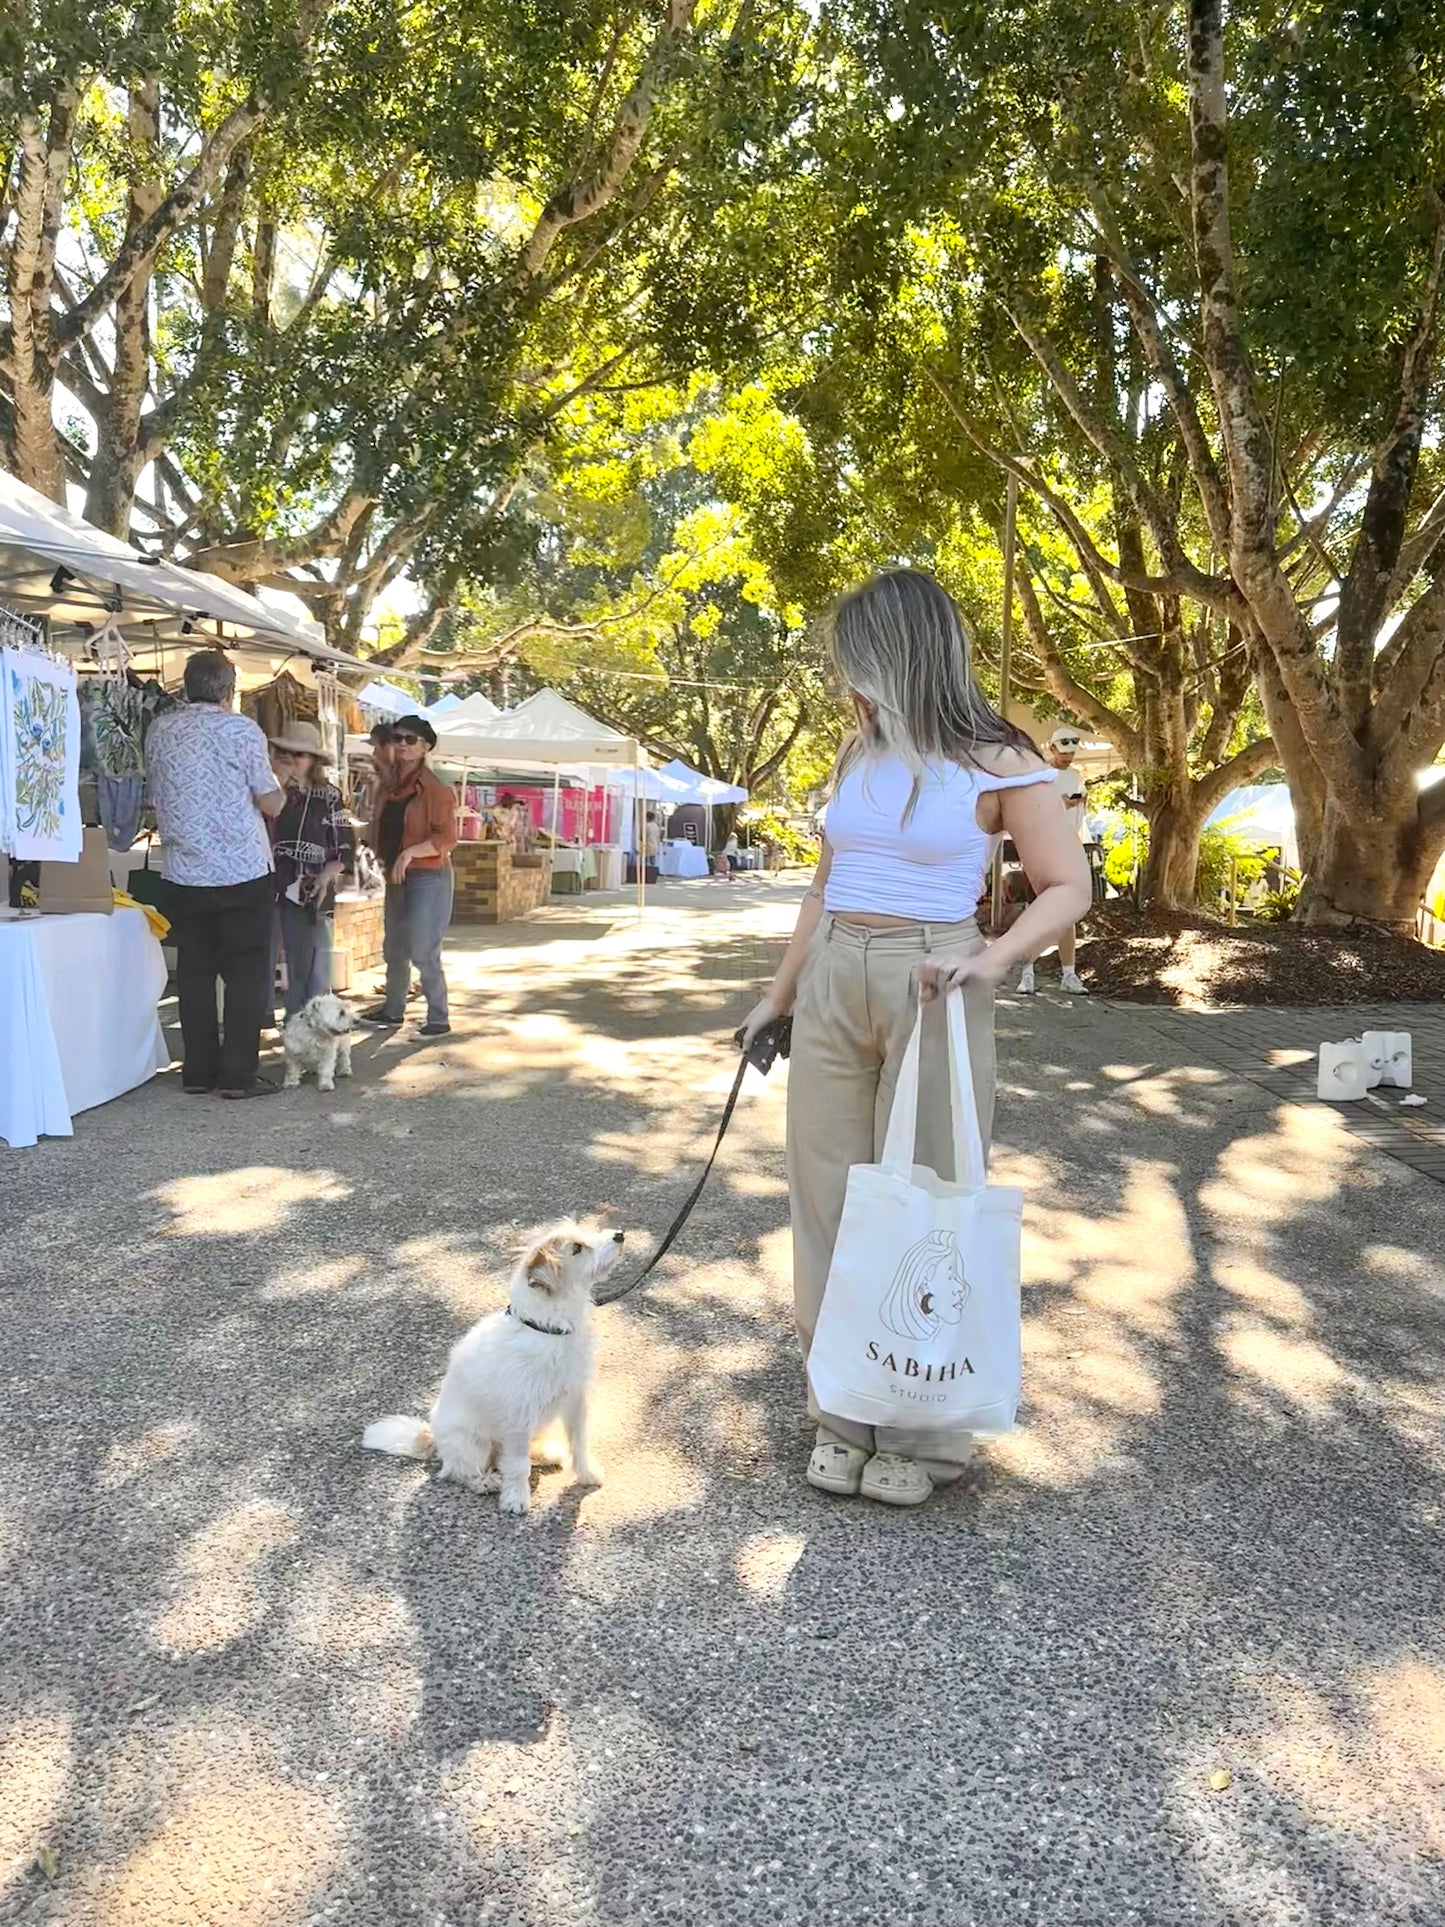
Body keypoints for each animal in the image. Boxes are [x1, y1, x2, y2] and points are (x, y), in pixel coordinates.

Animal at [362, 1225, 624, 1510]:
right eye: (576, 1248)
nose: (619, 1234)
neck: (546, 1330)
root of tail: (432, 1437)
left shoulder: (576, 1401)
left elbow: (579, 1443)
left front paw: (587, 1474)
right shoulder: (520, 1417)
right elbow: (518, 1465)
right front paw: (516, 1498)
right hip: (472, 1443)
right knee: (457, 1471)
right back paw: (484, 1481)